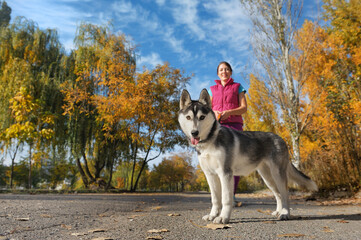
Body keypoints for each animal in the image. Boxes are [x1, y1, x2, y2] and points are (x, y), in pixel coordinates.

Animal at [176, 89, 316, 224]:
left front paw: (223, 217)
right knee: (278, 194)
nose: (194, 133)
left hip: (278, 174)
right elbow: (215, 199)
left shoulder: (225, 174)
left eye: (202, 117)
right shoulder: (210, 175)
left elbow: (226, 199)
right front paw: (212, 215)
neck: (210, 141)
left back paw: (285, 213)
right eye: (188, 117)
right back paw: (278, 211)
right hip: (267, 178)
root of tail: (280, 138)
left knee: (285, 193)